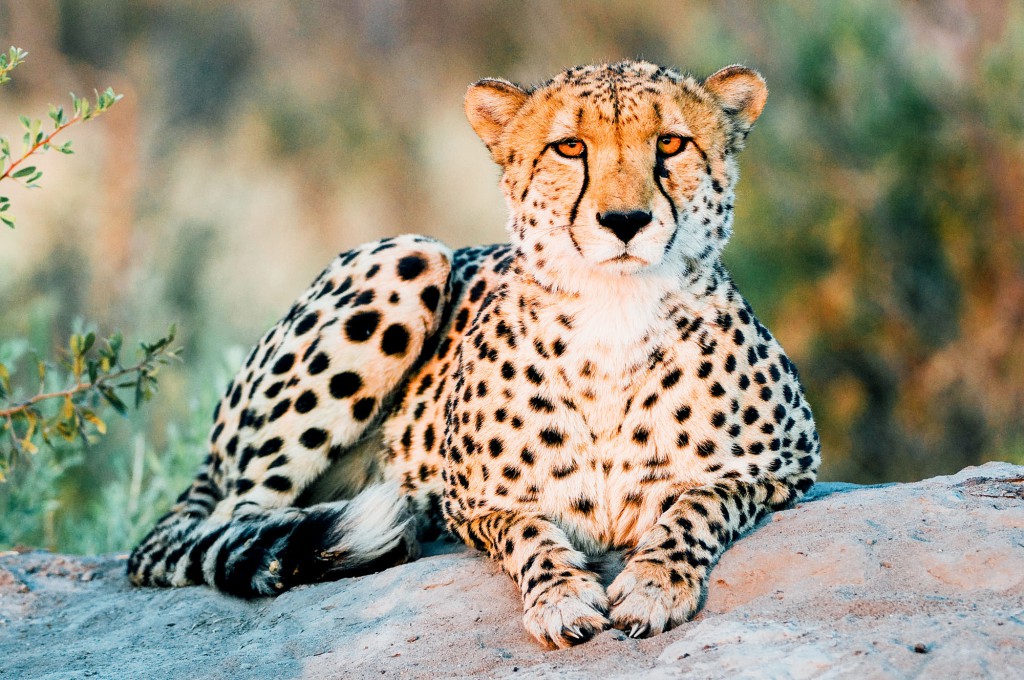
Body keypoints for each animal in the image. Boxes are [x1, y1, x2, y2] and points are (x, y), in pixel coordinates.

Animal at [128, 60, 820, 649]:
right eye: (570, 148)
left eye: (671, 144)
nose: (625, 220)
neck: (614, 316)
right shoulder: (473, 502)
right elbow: (529, 532)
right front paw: (561, 597)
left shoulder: (790, 470)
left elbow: (700, 503)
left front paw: (654, 584)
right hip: (409, 255)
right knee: (233, 523)